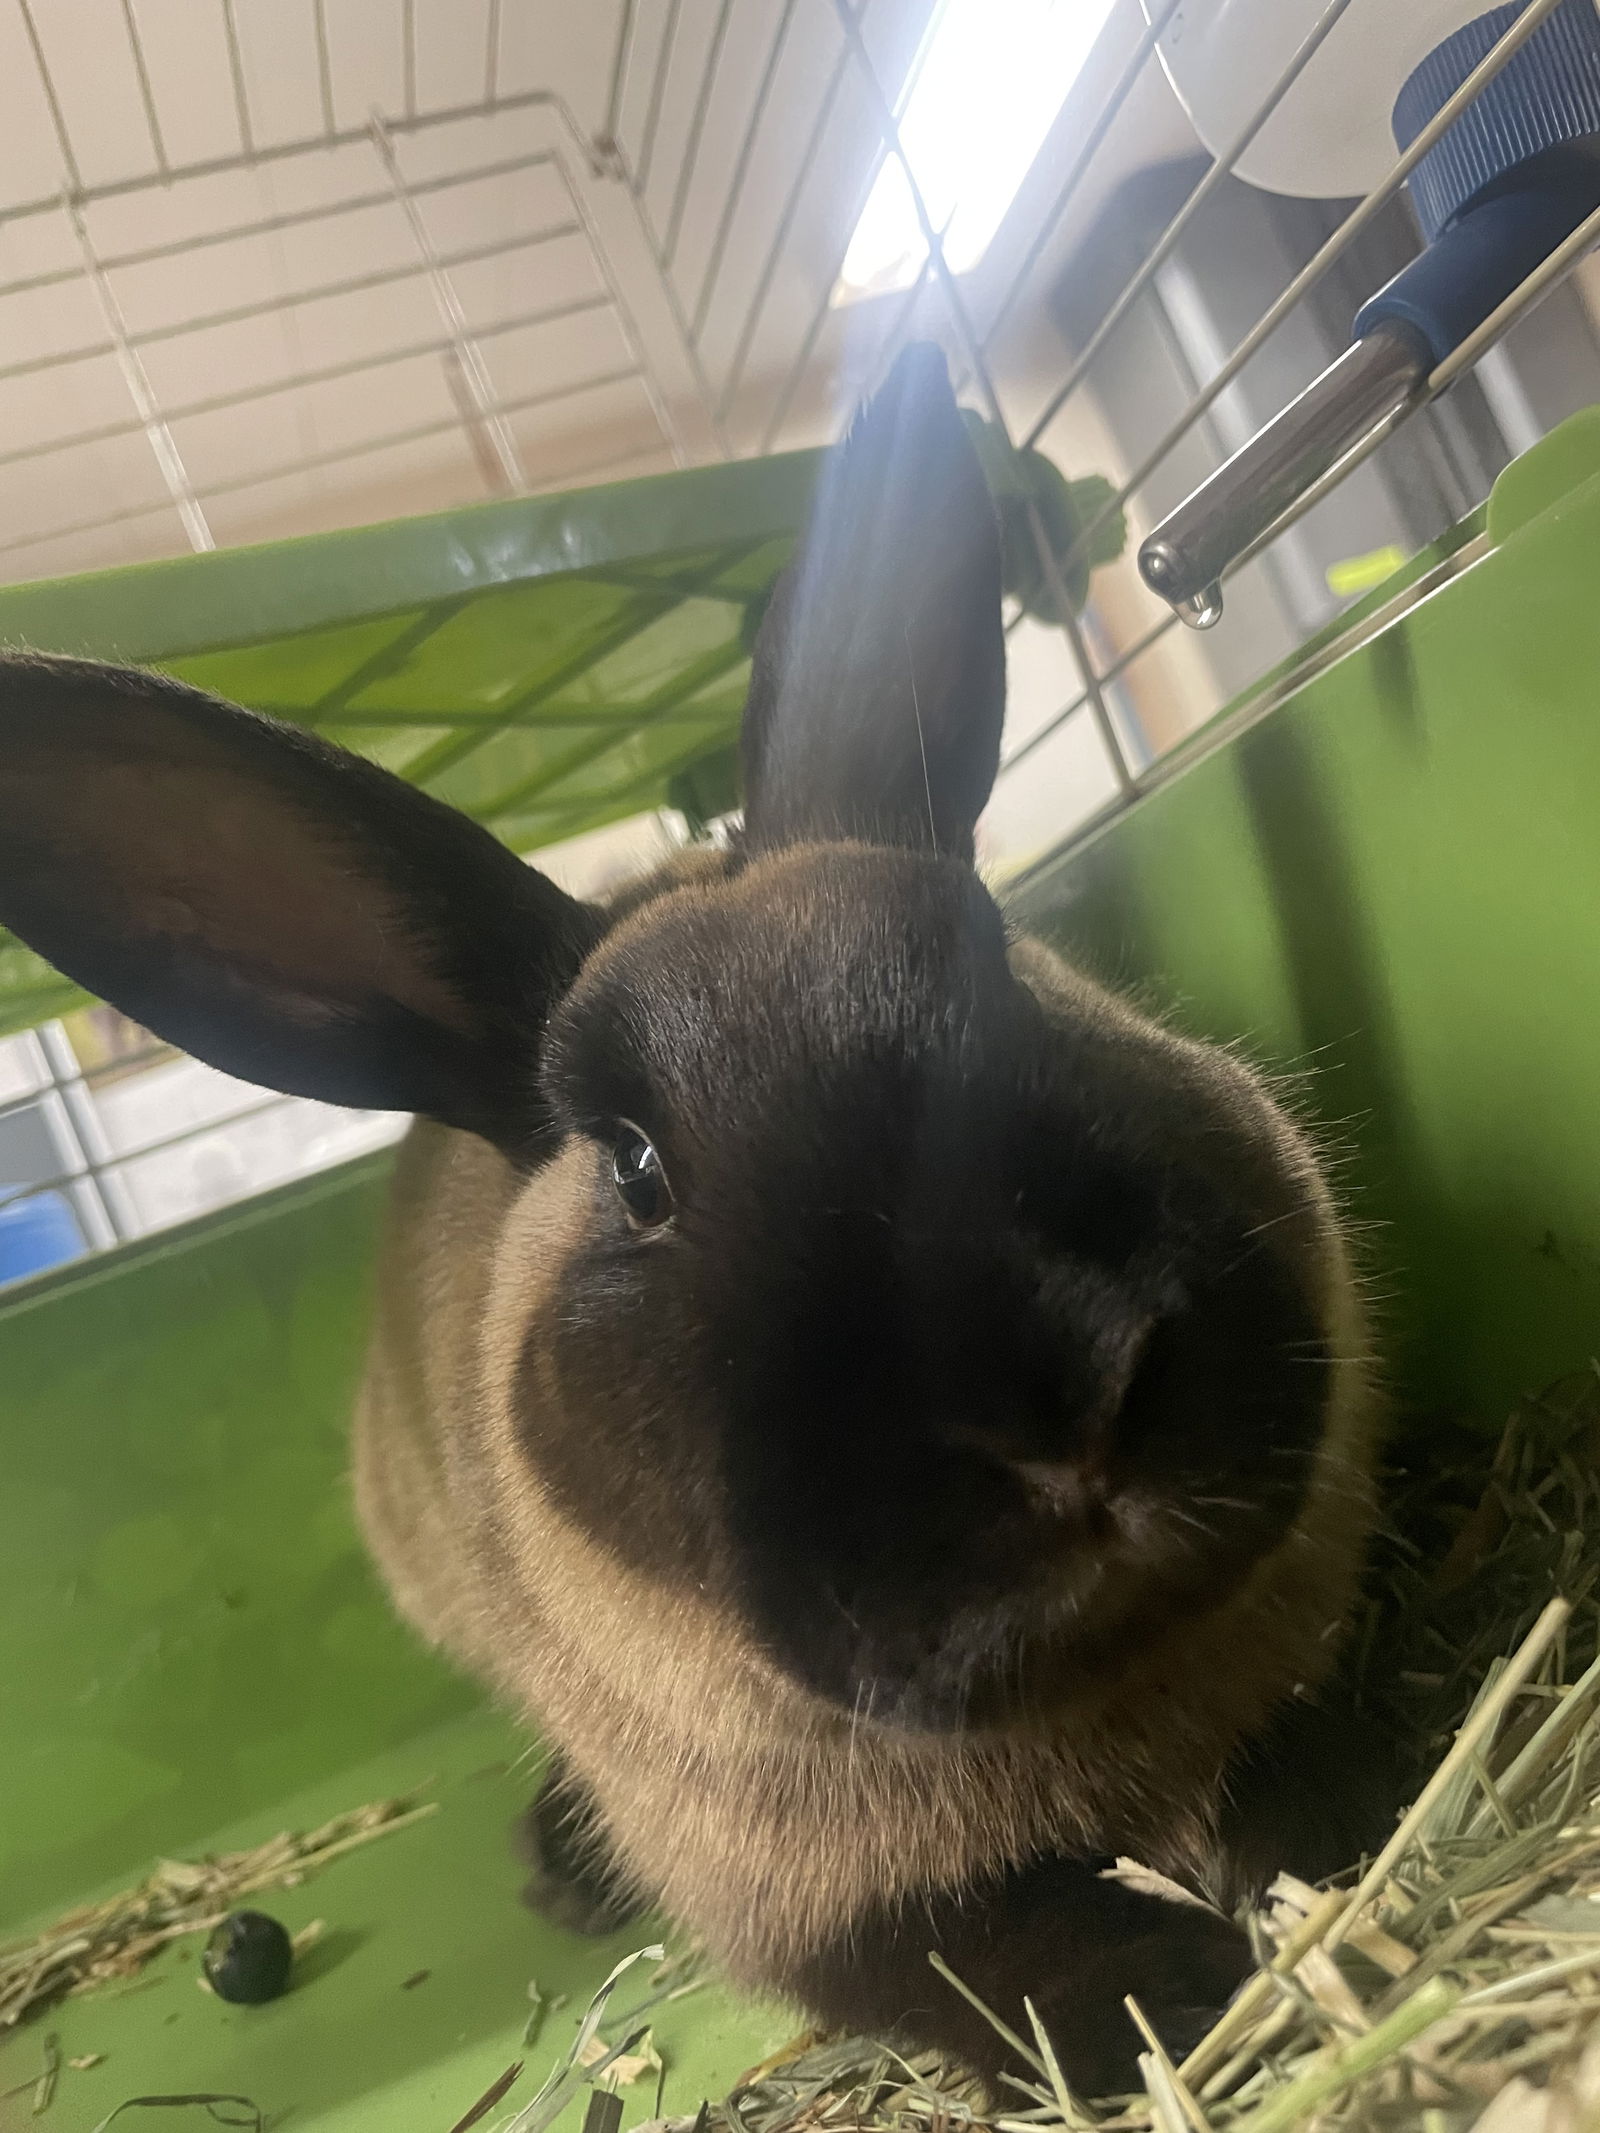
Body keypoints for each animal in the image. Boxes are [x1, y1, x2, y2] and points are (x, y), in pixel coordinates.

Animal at [0, 341, 1390, 2090]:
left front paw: (1295, 1882)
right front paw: (1171, 2000)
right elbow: (985, 1956)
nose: (1074, 1410)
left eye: (1002, 968)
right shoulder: (816, 1900)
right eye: (637, 1168)